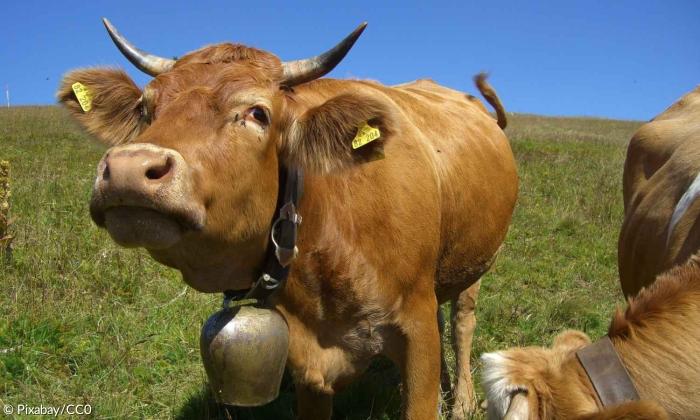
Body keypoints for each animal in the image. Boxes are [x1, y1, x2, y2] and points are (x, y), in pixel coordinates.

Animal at [58, 19, 518, 419]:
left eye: (258, 113)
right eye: (145, 107)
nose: (130, 169)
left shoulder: (416, 329)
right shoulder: (306, 361)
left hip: (477, 263)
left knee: (461, 322)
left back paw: (462, 400)